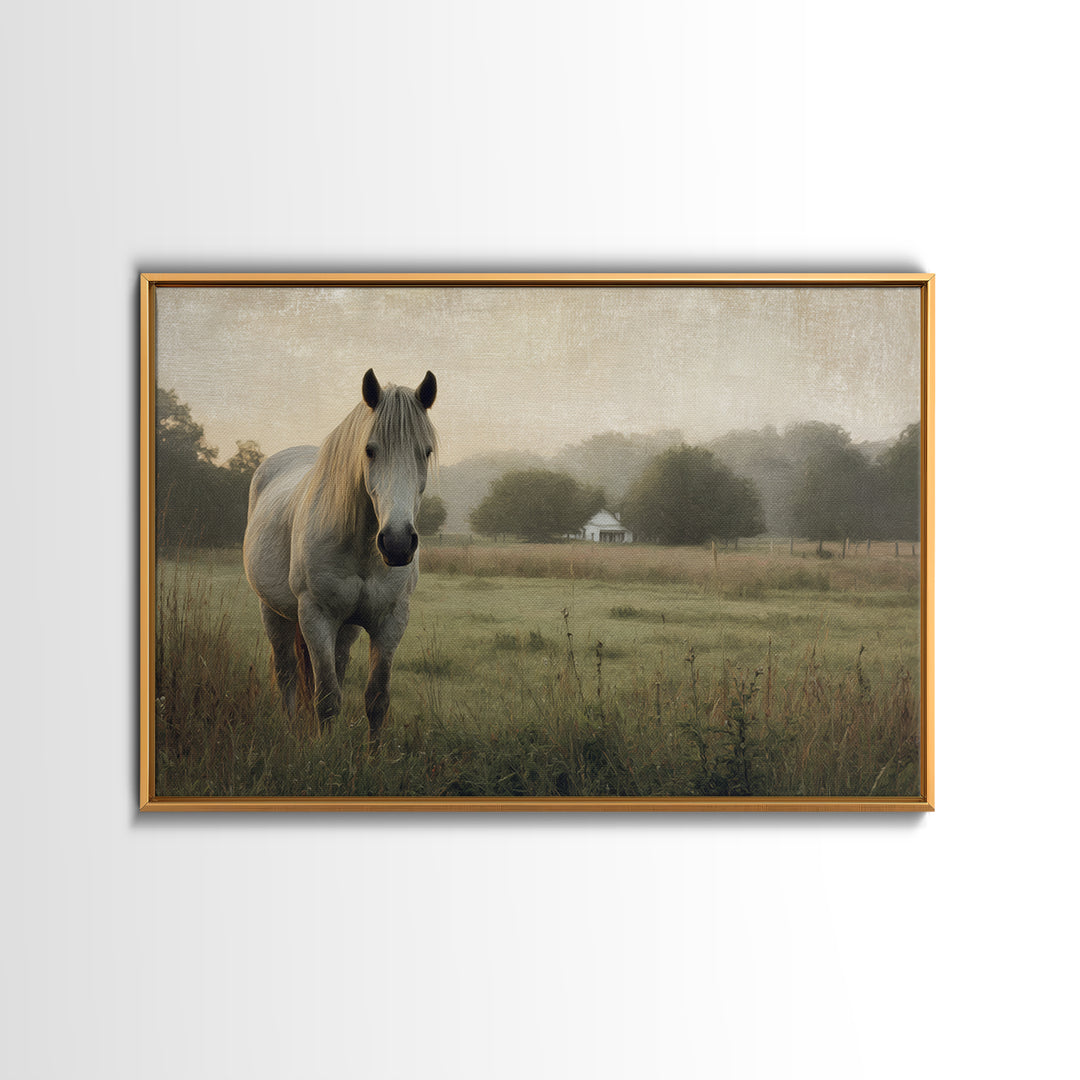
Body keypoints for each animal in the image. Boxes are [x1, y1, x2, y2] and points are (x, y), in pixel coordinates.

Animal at [242, 369, 438, 744]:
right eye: (370, 450)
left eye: (425, 451)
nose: (397, 543)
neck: (362, 548)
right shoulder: (316, 617)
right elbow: (327, 698)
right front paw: (325, 751)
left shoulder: (390, 621)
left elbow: (376, 698)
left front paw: (373, 754)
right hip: (273, 612)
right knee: (287, 674)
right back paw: (291, 731)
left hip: (346, 628)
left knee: (337, 665)